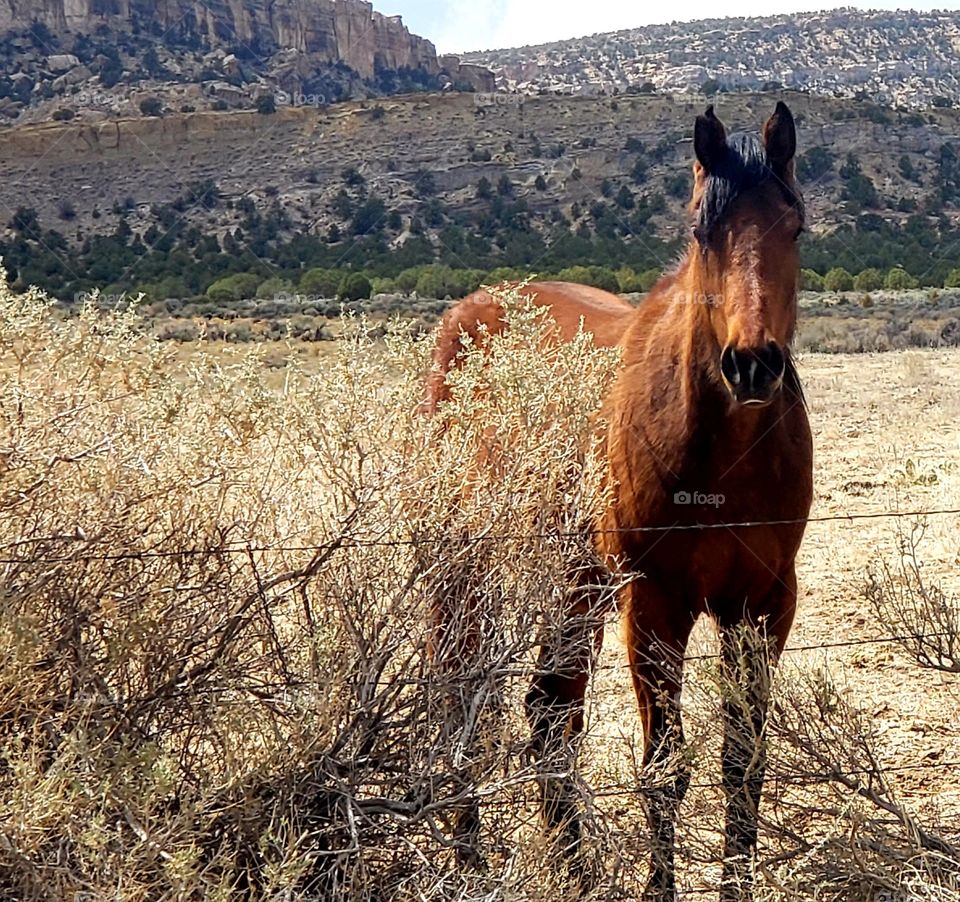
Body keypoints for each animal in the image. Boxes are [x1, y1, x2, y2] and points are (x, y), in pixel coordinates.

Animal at [424, 102, 813, 901]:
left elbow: (743, 765)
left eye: (795, 228)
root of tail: (465, 316)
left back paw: (573, 869)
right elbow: (664, 771)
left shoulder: (764, 603)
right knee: (460, 704)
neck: (725, 455)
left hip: (573, 585)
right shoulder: (655, 602)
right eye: (703, 232)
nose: (751, 364)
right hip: (465, 577)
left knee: (550, 712)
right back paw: (472, 861)